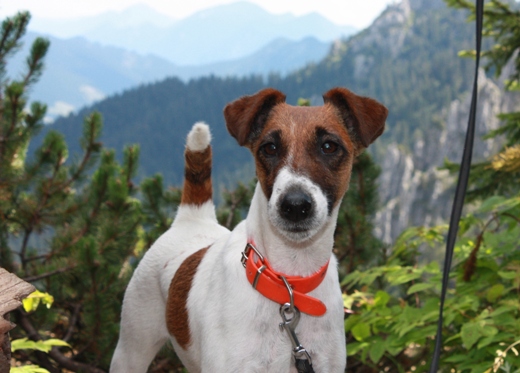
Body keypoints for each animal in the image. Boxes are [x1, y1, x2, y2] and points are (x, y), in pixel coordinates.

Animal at [109, 85, 386, 370]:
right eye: (269, 147)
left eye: (329, 146)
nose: (295, 205)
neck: (288, 286)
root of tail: (193, 217)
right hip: (131, 349)